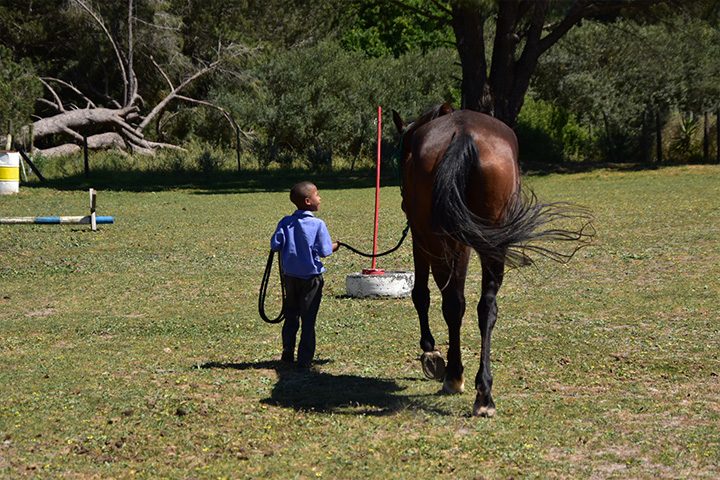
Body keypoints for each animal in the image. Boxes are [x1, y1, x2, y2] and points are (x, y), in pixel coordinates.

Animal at [392, 104, 591, 417]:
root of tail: (463, 133)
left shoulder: (421, 240)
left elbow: (421, 295)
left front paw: (430, 352)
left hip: (440, 241)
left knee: (452, 304)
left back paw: (454, 376)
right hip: (491, 243)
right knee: (486, 307)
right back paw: (484, 393)